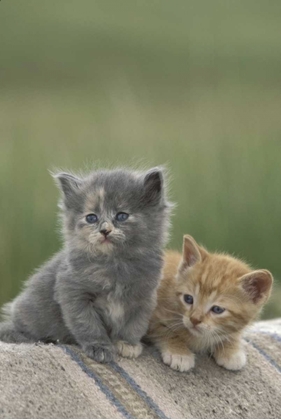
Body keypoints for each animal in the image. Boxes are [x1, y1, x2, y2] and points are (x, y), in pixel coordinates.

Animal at [0, 166, 171, 362]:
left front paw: (127, 344)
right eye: (91, 218)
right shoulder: (73, 293)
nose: (104, 230)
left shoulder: (144, 297)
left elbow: (135, 324)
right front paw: (100, 348)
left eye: (121, 216)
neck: (115, 264)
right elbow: (88, 324)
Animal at [147, 235, 272, 372]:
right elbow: (164, 330)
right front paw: (179, 353)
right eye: (188, 299)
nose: (194, 320)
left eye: (217, 309)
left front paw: (231, 350)